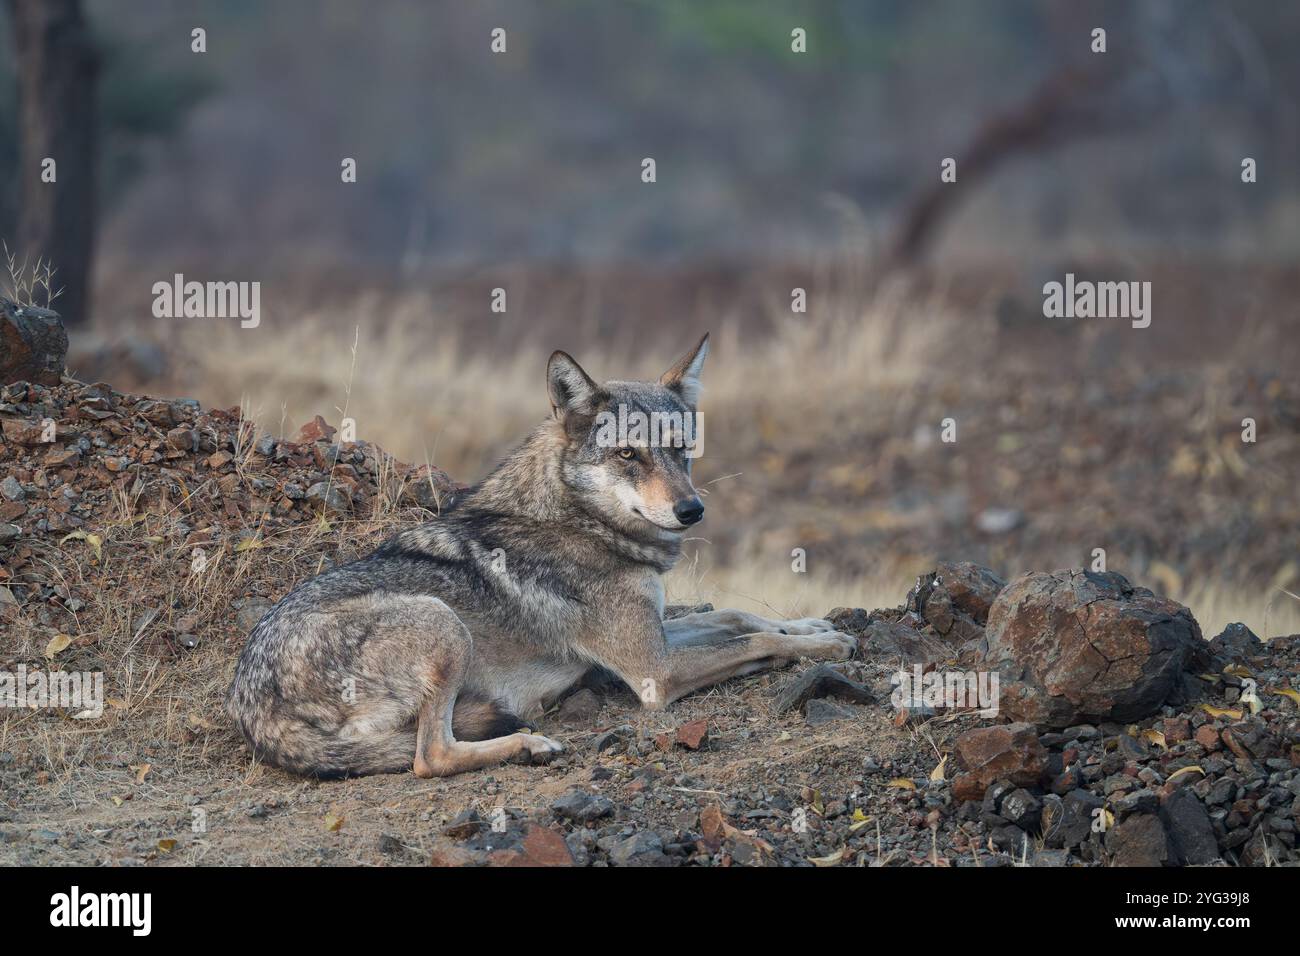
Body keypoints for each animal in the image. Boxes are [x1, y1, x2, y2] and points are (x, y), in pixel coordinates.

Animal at [226, 335, 852, 780]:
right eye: (629, 455)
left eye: (681, 450)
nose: (692, 510)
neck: (577, 517)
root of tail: (251, 708)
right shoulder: (655, 672)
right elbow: (757, 642)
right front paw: (828, 647)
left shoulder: (654, 635)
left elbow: (739, 616)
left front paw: (813, 625)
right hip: (442, 623)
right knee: (429, 758)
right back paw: (531, 744)